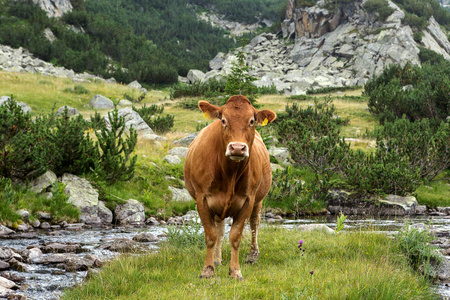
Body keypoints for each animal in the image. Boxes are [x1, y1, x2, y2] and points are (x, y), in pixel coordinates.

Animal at [182, 95, 274, 280]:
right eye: (223, 120)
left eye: (251, 121)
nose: (237, 147)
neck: (229, 174)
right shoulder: (202, 199)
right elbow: (211, 235)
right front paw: (208, 269)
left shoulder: (248, 200)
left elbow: (236, 236)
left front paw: (235, 271)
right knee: (219, 229)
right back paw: (217, 259)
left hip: (258, 200)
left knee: (255, 223)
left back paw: (253, 256)